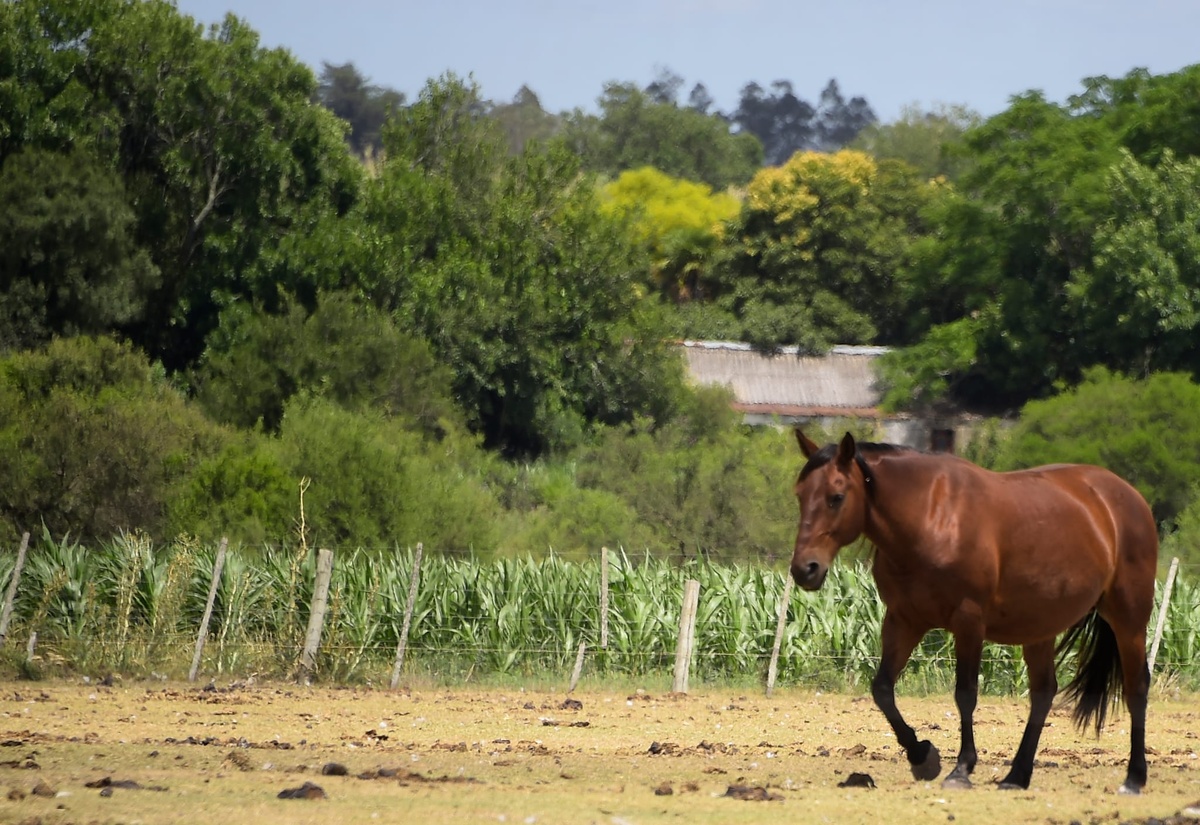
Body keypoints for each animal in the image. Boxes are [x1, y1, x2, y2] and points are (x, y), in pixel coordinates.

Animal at [790, 430, 1158, 794]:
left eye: (836, 497)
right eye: (800, 494)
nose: (805, 569)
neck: (931, 516)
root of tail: (1127, 497)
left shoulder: (969, 622)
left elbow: (965, 694)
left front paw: (961, 769)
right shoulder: (903, 621)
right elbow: (882, 689)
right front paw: (922, 756)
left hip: (1129, 621)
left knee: (1136, 688)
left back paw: (1134, 778)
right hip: (1039, 628)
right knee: (1043, 693)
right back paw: (1016, 776)